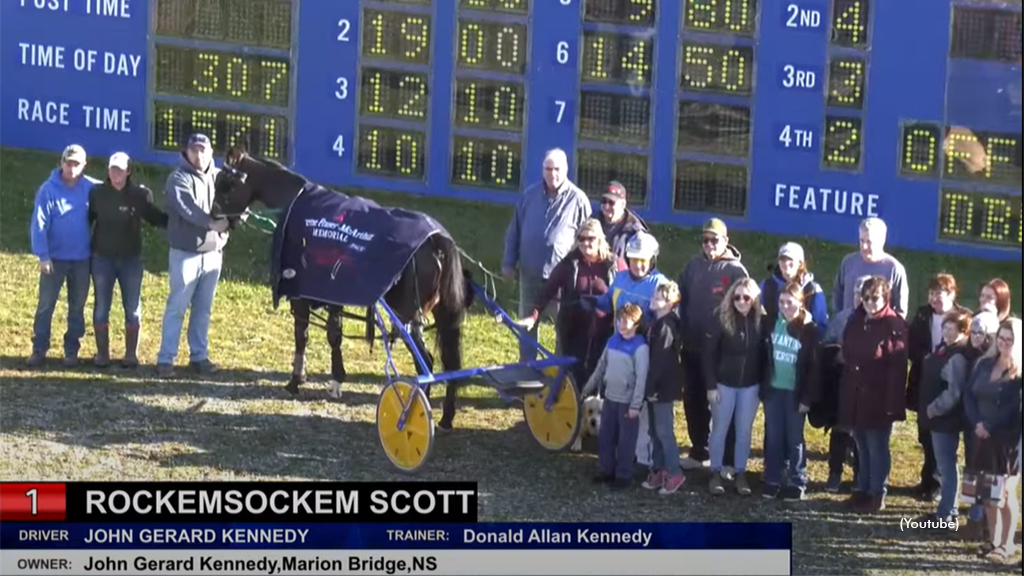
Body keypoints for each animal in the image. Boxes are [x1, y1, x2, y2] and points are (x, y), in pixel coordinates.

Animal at [216, 145, 471, 428]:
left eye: (224, 185)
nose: (214, 217)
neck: (297, 202)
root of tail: (437, 240)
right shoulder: (332, 293)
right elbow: (334, 334)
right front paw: (335, 377)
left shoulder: (301, 293)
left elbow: (302, 334)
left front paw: (297, 379)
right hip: (440, 315)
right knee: (450, 363)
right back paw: (446, 416)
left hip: (407, 314)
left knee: (425, 361)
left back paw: (414, 408)